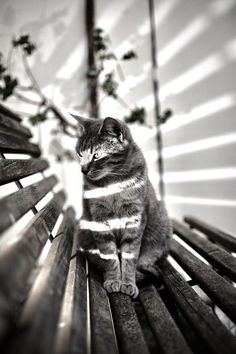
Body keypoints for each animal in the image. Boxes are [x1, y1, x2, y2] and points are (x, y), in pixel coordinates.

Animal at [75, 115, 171, 298]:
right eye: (79, 154)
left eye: (96, 155)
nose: (83, 170)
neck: (113, 183)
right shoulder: (99, 219)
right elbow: (109, 257)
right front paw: (114, 280)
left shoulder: (135, 218)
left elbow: (130, 257)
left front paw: (127, 283)